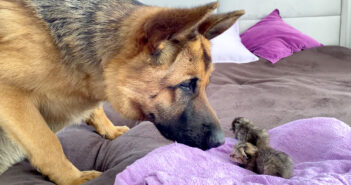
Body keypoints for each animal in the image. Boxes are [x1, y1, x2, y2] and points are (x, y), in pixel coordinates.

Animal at [0, 0, 245, 184]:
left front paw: (110, 130)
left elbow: (96, 110)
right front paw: (73, 178)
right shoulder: (10, 96)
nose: (221, 142)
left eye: (206, 84)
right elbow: (47, 141)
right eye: (186, 84)